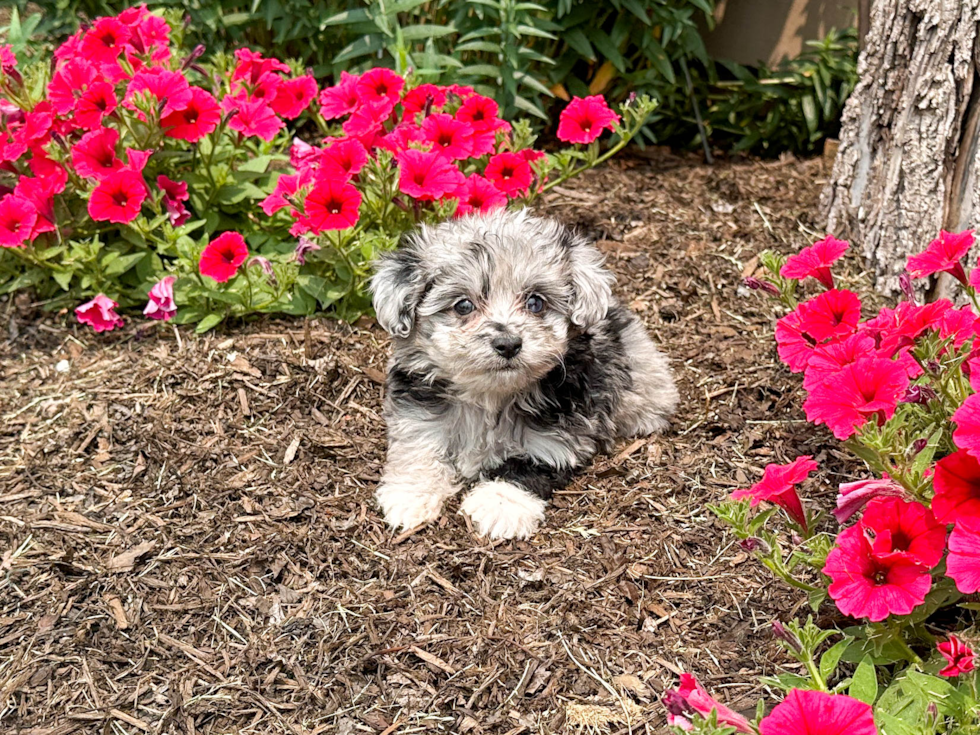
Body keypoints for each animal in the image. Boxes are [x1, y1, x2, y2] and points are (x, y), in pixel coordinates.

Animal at [372, 208, 676, 540]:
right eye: (463, 305)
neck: (491, 396)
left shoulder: (556, 439)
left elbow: (527, 466)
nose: (508, 343)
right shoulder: (418, 415)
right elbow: (418, 449)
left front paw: (500, 504)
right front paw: (411, 494)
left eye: (535, 302)